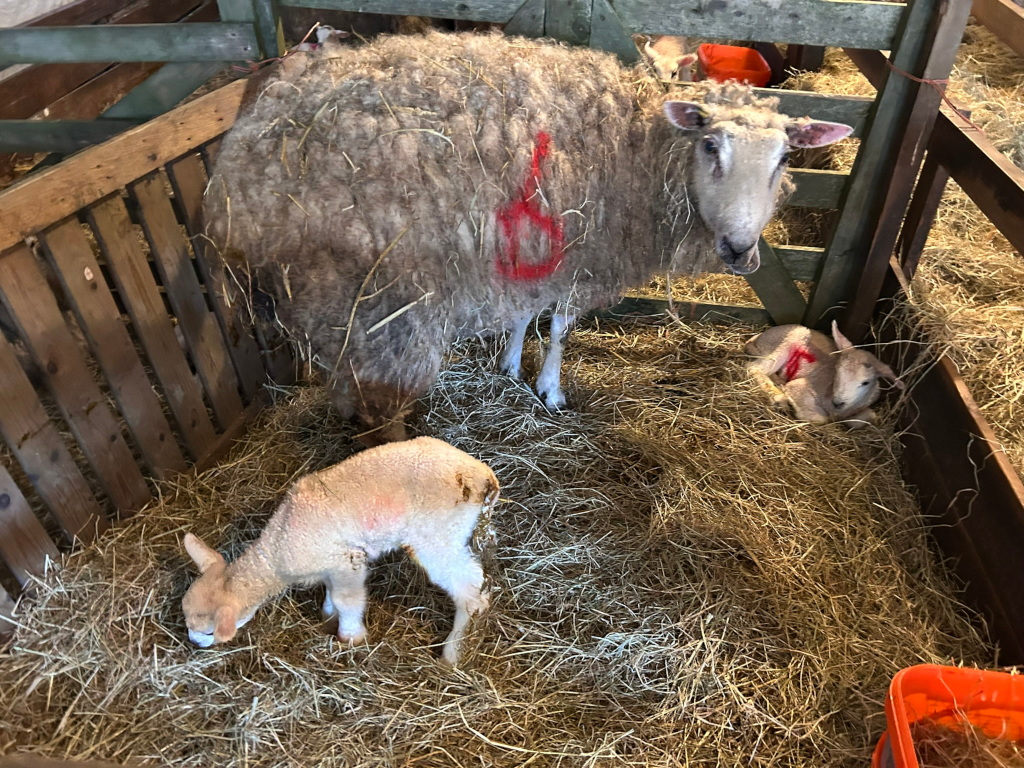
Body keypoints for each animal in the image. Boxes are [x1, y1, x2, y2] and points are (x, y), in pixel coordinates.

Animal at [181, 436, 499, 666]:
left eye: (209, 631)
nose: (193, 643)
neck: (277, 551)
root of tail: (483, 476)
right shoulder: (329, 563)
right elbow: (331, 593)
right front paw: (327, 616)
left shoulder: (348, 561)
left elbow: (347, 599)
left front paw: (350, 637)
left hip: (436, 535)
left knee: (468, 589)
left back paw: (453, 652)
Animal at [204, 31, 853, 441]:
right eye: (711, 146)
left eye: (784, 158)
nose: (741, 250)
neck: (638, 147)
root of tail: (236, 173)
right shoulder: (582, 250)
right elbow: (560, 326)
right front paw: (550, 389)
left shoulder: (532, 246)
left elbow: (523, 311)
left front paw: (513, 366)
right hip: (372, 301)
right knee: (376, 400)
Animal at [745, 321, 904, 426]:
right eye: (837, 371)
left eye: (865, 382)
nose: (838, 402)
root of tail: (758, 338)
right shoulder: (800, 386)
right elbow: (820, 419)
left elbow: (871, 417)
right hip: (788, 340)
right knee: (754, 367)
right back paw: (778, 397)